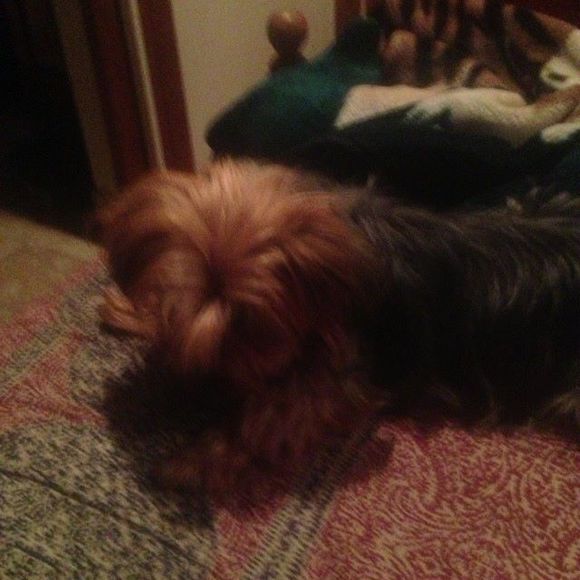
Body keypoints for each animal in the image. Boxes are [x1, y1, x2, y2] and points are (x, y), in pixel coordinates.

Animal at [98, 158, 580, 494]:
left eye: (254, 331)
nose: (203, 391)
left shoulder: (339, 381)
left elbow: (268, 415)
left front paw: (193, 459)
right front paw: (131, 312)